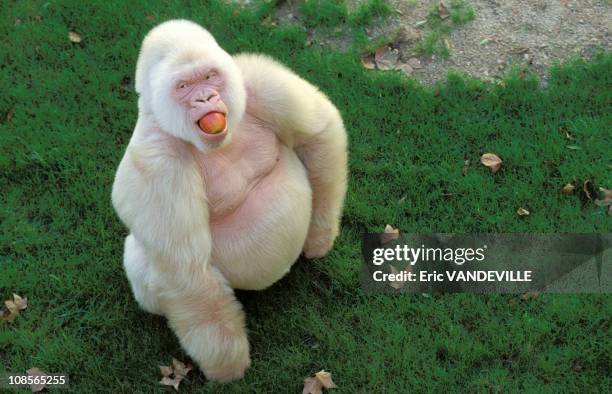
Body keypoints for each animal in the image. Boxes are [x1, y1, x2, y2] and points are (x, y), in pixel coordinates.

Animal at [112, 20, 346, 380]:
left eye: (209, 76)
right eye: (183, 86)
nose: (206, 97)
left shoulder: (261, 82)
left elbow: (319, 133)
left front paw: (319, 238)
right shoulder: (156, 164)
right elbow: (187, 275)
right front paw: (228, 366)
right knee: (141, 259)